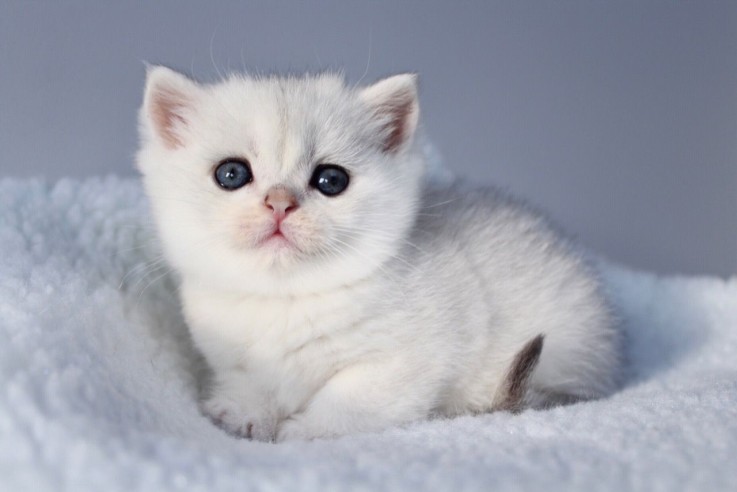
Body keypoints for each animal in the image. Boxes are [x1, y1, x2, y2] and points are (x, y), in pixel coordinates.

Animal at [135, 66, 620, 442]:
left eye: (331, 180)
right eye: (232, 174)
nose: (279, 204)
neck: (287, 298)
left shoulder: (407, 363)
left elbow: (350, 398)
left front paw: (303, 430)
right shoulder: (232, 355)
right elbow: (249, 380)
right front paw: (243, 412)